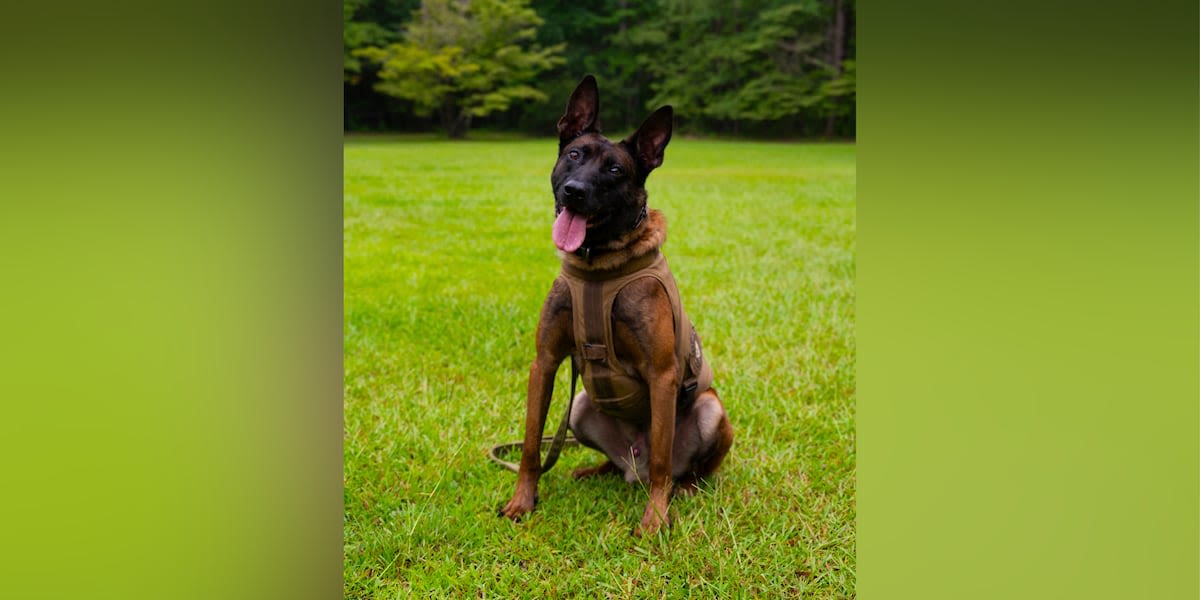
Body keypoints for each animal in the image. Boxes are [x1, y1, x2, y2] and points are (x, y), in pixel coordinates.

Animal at [496, 75, 729, 535]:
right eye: (574, 155)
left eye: (615, 170)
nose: (574, 192)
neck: (597, 265)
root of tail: (631, 465)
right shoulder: (544, 363)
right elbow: (531, 445)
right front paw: (522, 502)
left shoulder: (662, 374)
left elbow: (661, 463)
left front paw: (655, 521)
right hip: (581, 406)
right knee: (612, 460)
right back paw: (592, 471)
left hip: (711, 409)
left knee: (678, 469)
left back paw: (684, 489)